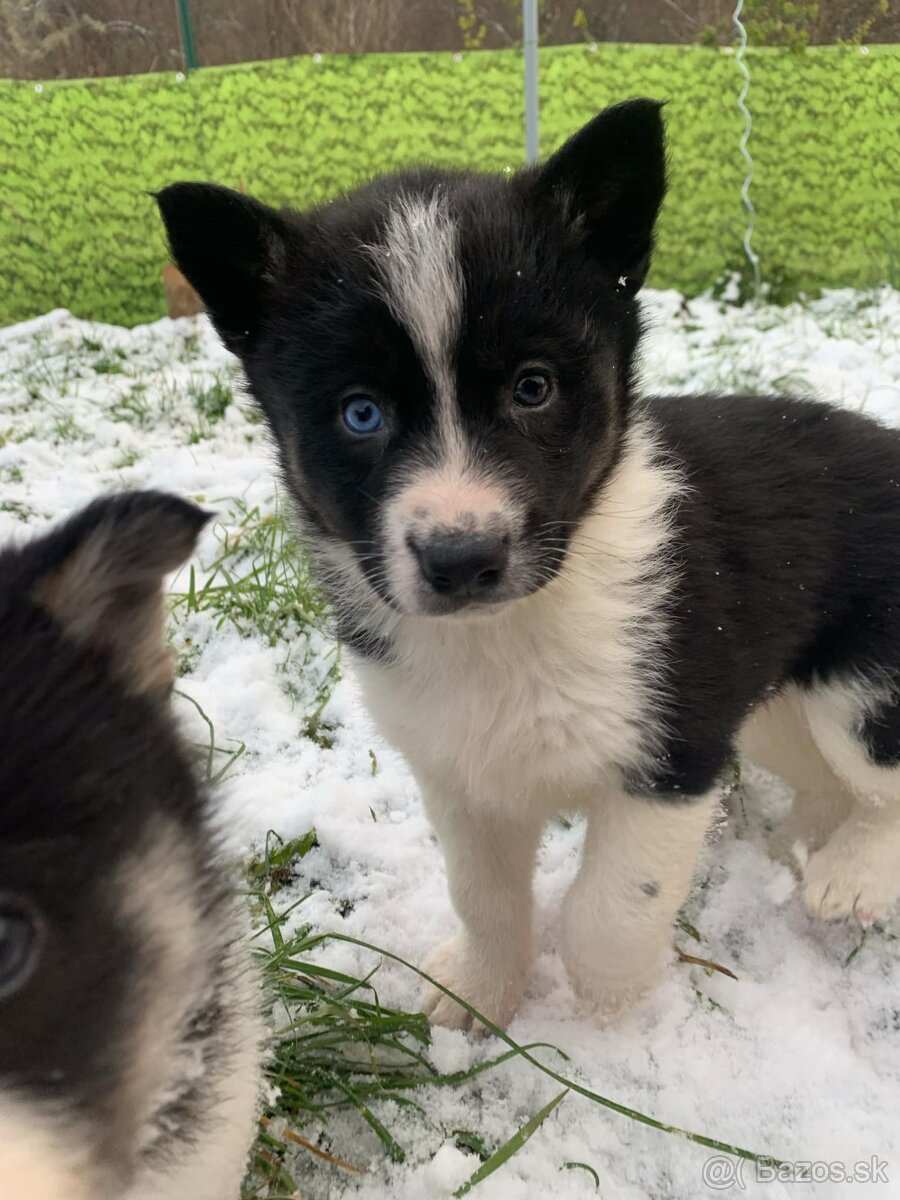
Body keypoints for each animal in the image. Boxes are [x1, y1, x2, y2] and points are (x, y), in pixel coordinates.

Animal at [158, 98, 900, 1027]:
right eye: (360, 412)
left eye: (533, 387)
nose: (462, 559)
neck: (512, 627)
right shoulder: (461, 777)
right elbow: (483, 897)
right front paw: (475, 997)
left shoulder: (674, 752)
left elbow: (609, 910)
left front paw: (615, 1022)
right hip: (770, 701)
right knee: (828, 780)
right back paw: (800, 848)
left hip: (859, 690)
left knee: (883, 776)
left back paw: (850, 873)